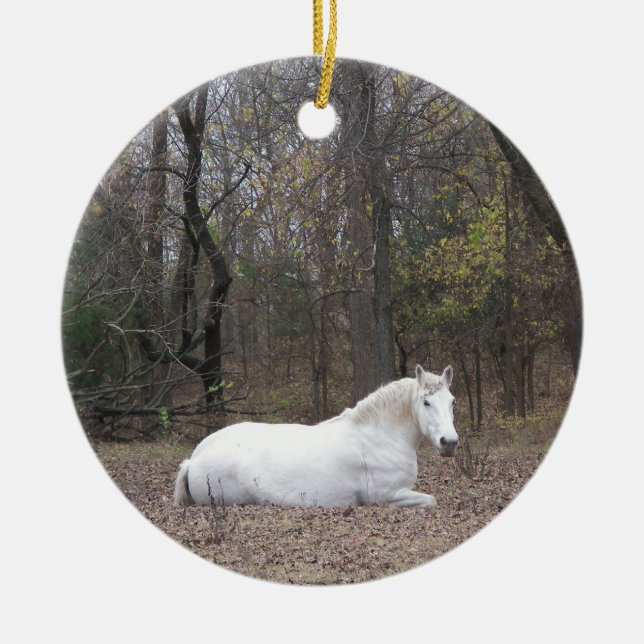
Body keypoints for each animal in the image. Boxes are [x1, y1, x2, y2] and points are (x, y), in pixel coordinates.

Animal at [173, 365, 459, 509]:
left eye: (452, 401)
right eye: (426, 402)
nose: (450, 442)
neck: (380, 437)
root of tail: (194, 460)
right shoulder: (389, 495)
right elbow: (431, 501)